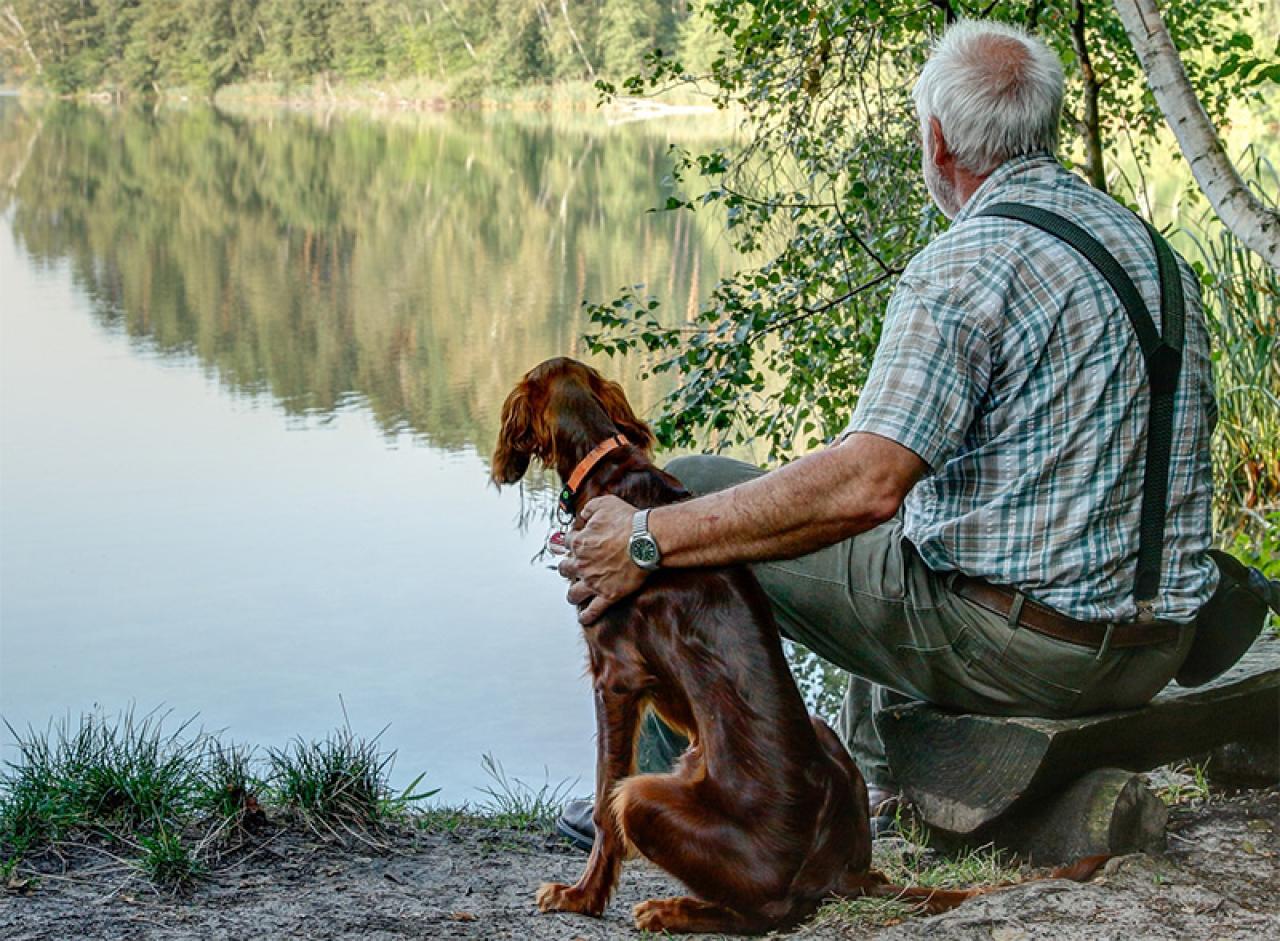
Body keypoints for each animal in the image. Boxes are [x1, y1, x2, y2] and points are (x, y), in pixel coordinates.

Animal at [488, 358, 1100, 937]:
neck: (607, 466)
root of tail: (838, 875)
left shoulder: (616, 677)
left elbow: (603, 797)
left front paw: (581, 897)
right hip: (821, 734)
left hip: (644, 798)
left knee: (767, 912)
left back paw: (674, 909)